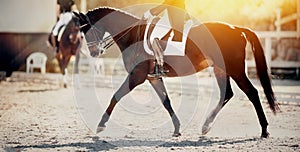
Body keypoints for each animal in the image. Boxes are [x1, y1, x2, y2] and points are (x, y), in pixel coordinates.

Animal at [74, 7, 280, 138]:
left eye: (86, 31)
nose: (94, 52)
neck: (134, 36)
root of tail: (236, 28)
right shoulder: (152, 78)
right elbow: (166, 102)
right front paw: (177, 129)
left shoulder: (137, 76)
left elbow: (115, 96)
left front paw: (100, 126)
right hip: (220, 69)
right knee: (227, 94)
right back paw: (206, 126)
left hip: (235, 69)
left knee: (252, 93)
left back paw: (264, 130)